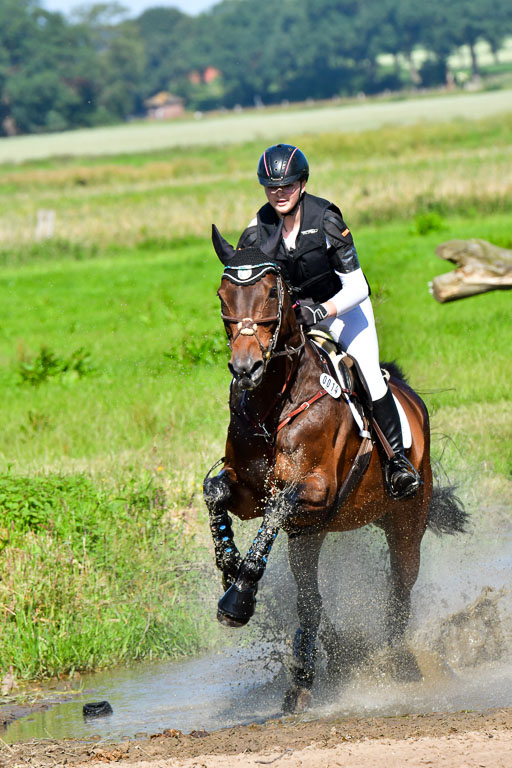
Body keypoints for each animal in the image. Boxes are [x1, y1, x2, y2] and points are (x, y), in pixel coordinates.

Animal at [203, 224, 466, 713]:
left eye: (272, 294)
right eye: (223, 295)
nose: (246, 368)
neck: (274, 403)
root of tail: (411, 399)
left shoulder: (315, 489)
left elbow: (279, 505)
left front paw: (238, 596)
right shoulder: (252, 495)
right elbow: (216, 492)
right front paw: (230, 569)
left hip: (406, 519)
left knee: (399, 590)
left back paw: (397, 664)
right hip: (310, 536)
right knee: (312, 602)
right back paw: (305, 680)